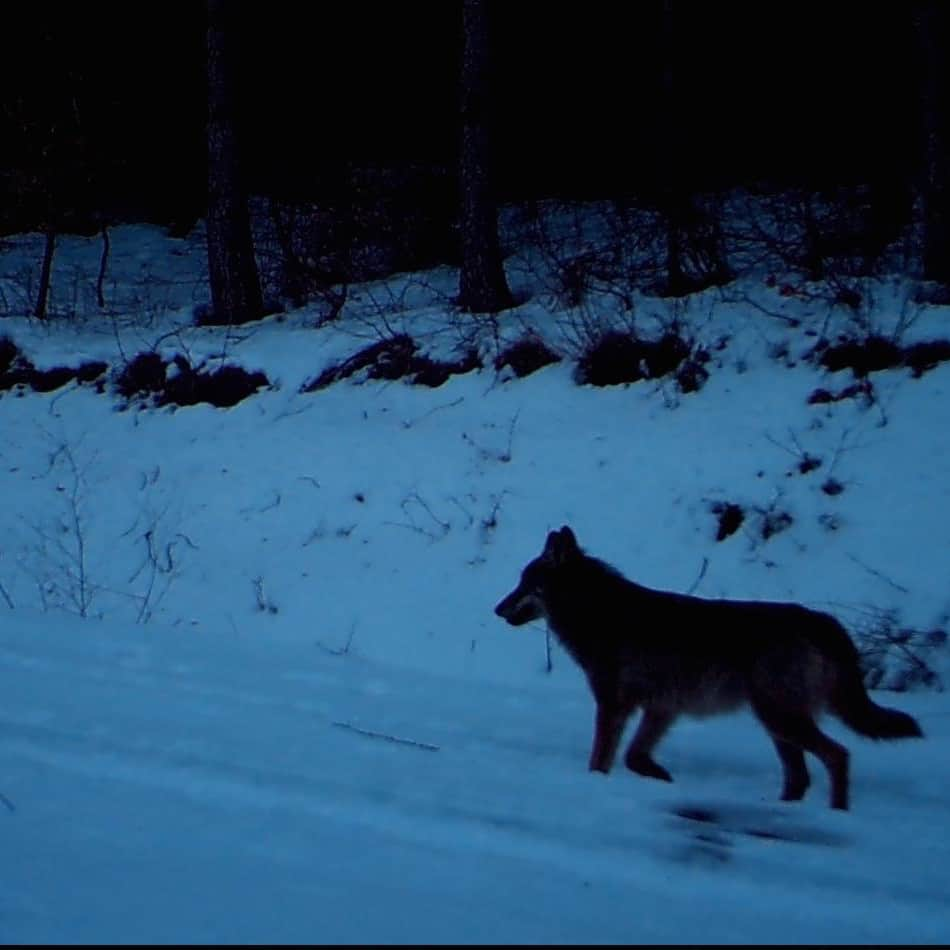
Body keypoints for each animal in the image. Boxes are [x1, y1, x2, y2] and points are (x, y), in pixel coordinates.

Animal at [494, 528, 924, 812]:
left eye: (524, 584)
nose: (496, 609)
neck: (597, 613)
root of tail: (822, 620)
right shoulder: (660, 709)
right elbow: (633, 757)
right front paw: (659, 775)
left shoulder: (615, 706)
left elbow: (601, 760)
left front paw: (600, 783)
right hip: (776, 724)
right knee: (800, 776)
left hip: (780, 719)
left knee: (838, 756)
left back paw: (835, 812)